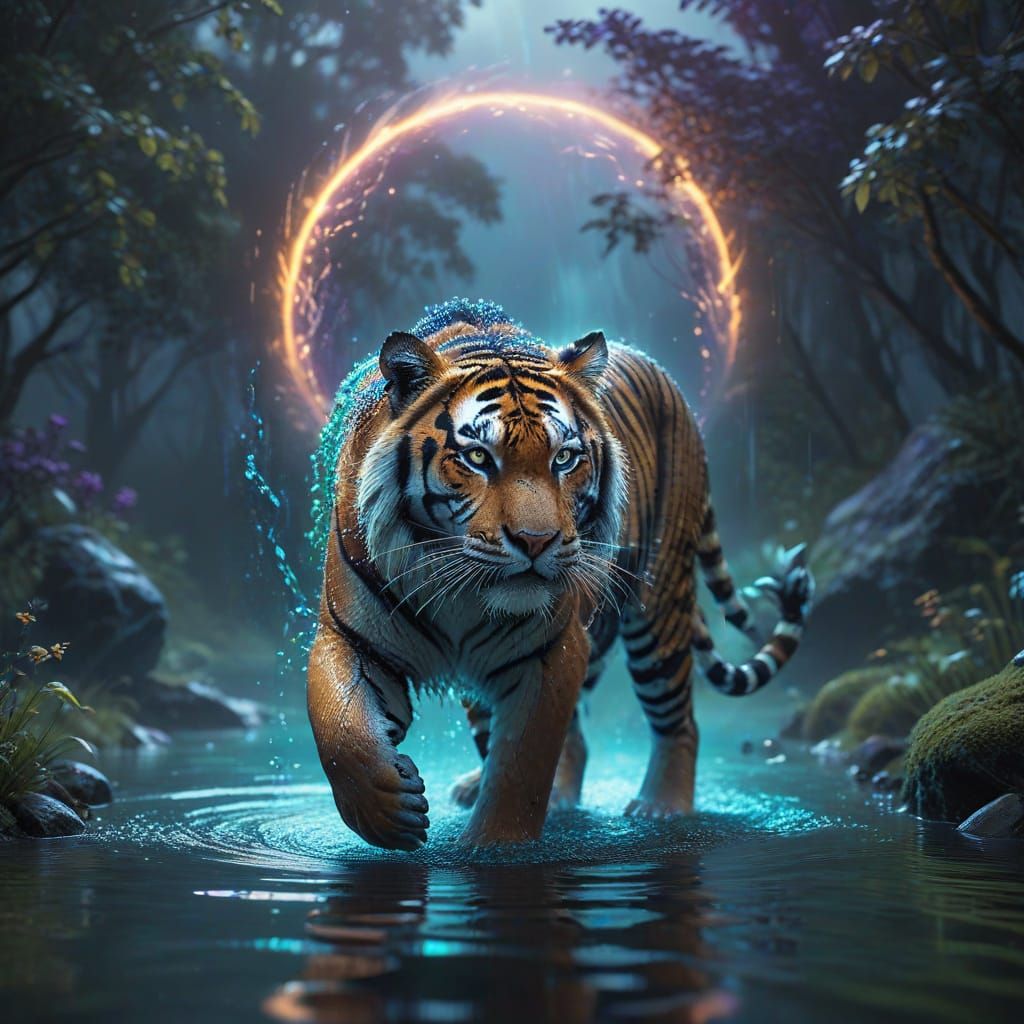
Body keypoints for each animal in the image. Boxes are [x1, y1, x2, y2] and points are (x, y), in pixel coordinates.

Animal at [307, 298, 812, 849]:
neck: (458, 590)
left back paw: (661, 808)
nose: (536, 541)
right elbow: (340, 728)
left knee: (677, 720)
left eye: (565, 458)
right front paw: (389, 812)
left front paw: (495, 848)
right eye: (478, 457)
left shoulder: (551, 650)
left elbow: (521, 767)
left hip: (658, 608)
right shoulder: (351, 635)